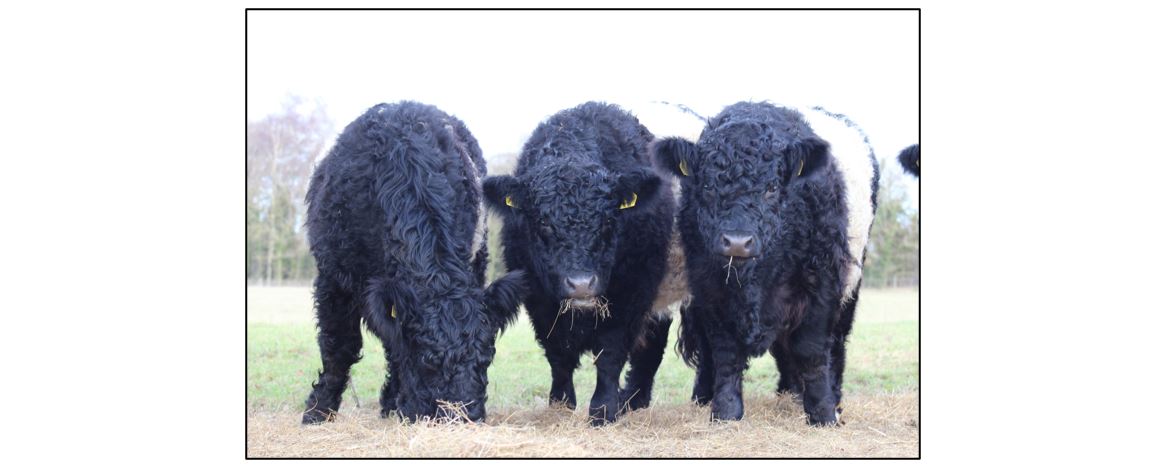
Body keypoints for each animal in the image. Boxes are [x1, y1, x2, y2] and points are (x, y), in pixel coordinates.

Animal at [300, 101, 526, 424]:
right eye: (427, 362)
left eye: (486, 358)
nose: (464, 417)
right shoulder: (333, 278)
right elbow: (339, 346)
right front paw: (317, 411)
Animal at [482, 102, 678, 426]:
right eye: (544, 222)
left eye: (609, 220)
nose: (582, 284)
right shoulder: (539, 300)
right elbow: (558, 354)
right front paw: (560, 404)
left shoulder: (631, 293)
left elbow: (610, 354)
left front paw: (604, 410)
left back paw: (633, 401)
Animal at [653, 102, 879, 426]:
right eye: (707, 185)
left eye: (772, 187)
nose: (737, 241)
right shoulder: (710, 289)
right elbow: (725, 351)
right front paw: (726, 412)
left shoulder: (821, 283)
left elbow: (811, 349)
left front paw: (823, 413)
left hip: (850, 285)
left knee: (835, 345)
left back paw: (831, 396)